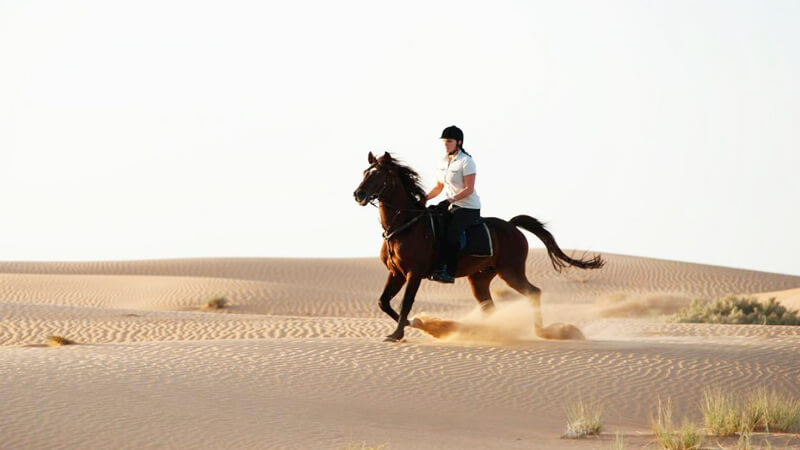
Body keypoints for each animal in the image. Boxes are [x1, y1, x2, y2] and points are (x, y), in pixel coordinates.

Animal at [353, 151, 604, 342]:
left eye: (378, 175)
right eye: (365, 172)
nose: (358, 194)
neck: (405, 225)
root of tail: (512, 226)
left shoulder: (414, 273)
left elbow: (406, 302)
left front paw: (400, 332)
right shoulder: (396, 273)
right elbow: (383, 302)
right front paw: (413, 324)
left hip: (510, 272)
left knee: (534, 292)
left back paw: (541, 331)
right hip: (480, 278)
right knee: (489, 307)